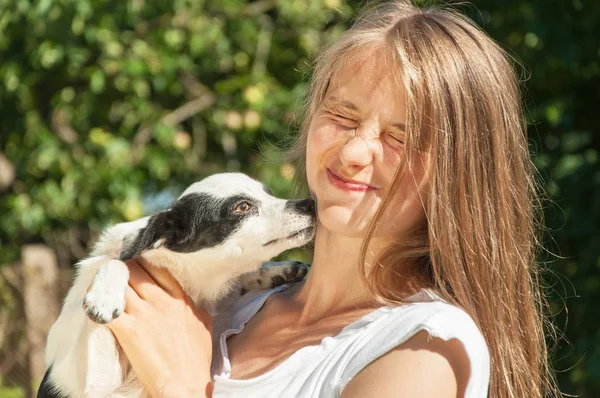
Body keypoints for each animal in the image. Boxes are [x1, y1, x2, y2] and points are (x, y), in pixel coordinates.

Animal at [37, 173, 316, 398]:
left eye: (270, 194)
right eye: (242, 207)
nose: (309, 204)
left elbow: (243, 276)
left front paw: (279, 270)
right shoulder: (90, 382)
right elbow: (116, 262)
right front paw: (104, 296)